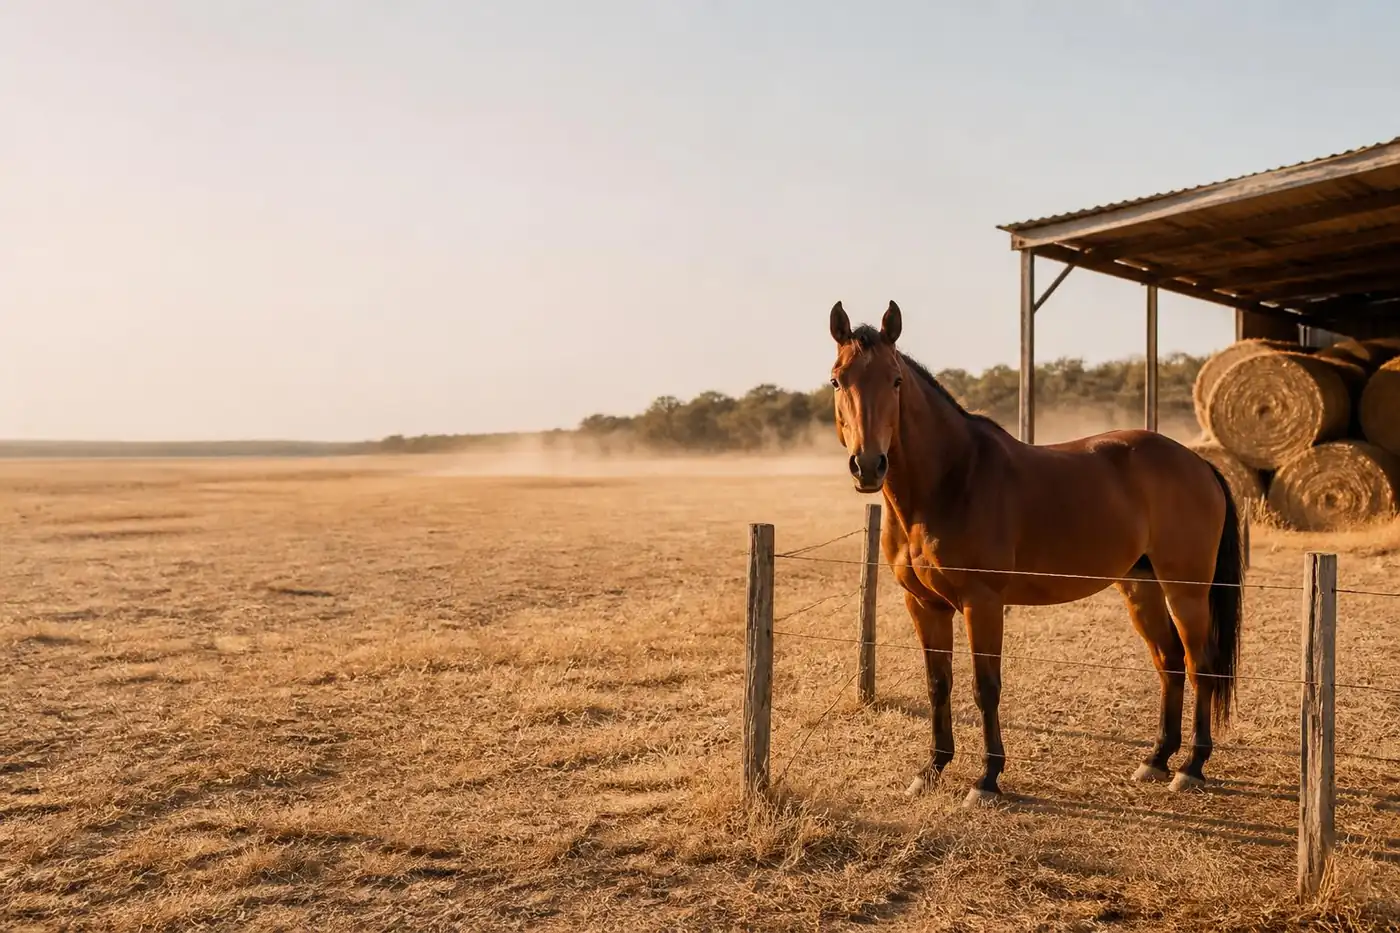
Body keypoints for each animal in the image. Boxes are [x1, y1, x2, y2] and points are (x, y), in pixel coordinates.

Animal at [826, 300, 1243, 807]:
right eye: (837, 380)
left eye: (895, 380)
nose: (868, 465)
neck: (950, 480)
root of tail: (1199, 462)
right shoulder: (924, 605)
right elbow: (938, 684)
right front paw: (931, 769)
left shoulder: (982, 603)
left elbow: (985, 688)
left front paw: (986, 779)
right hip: (1140, 587)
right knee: (1169, 662)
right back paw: (1157, 759)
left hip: (1186, 590)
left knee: (1201, 666)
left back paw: (1192, 767)